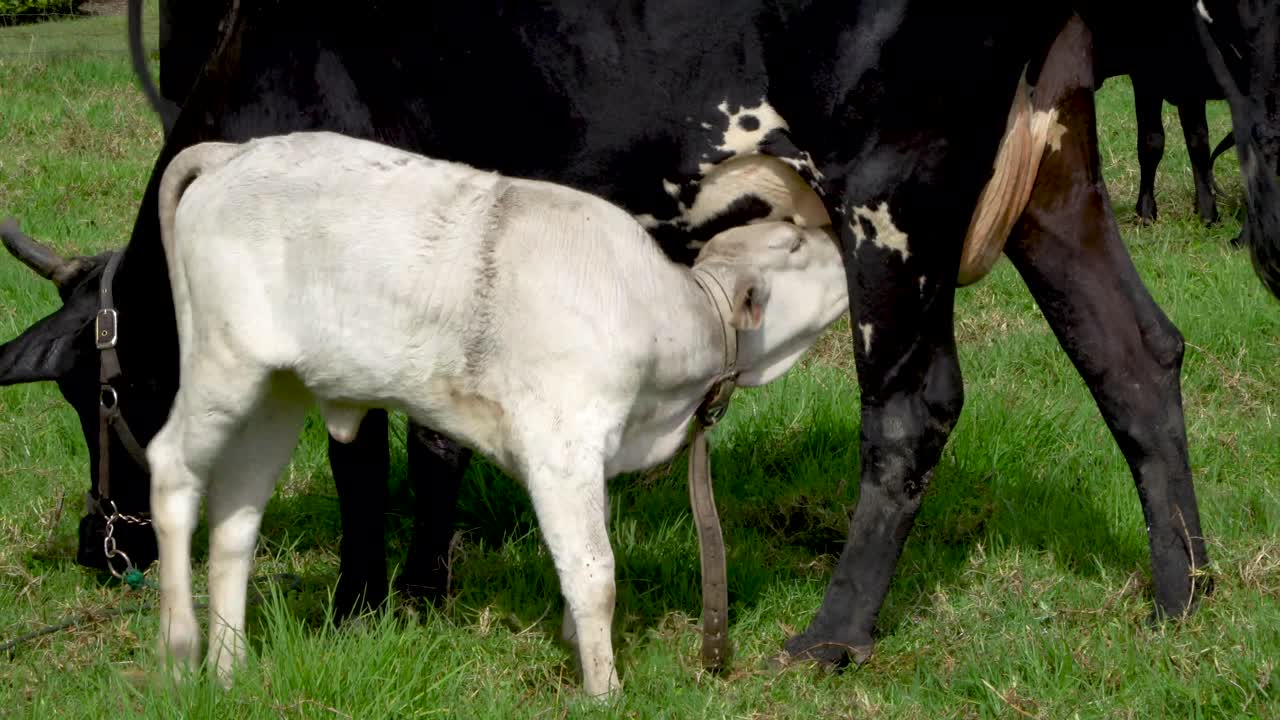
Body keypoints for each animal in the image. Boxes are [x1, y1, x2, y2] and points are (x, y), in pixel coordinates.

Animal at [3, 0, 1277, 673]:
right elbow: (422, 433)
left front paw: (370, 597)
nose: (95, 545)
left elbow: (370, 443)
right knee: (1132, 356)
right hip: (1046, 165)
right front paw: (414, 588)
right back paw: (1180, 593)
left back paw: (827, 638)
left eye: (89, 395)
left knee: (914, 407)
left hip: (892, 182)